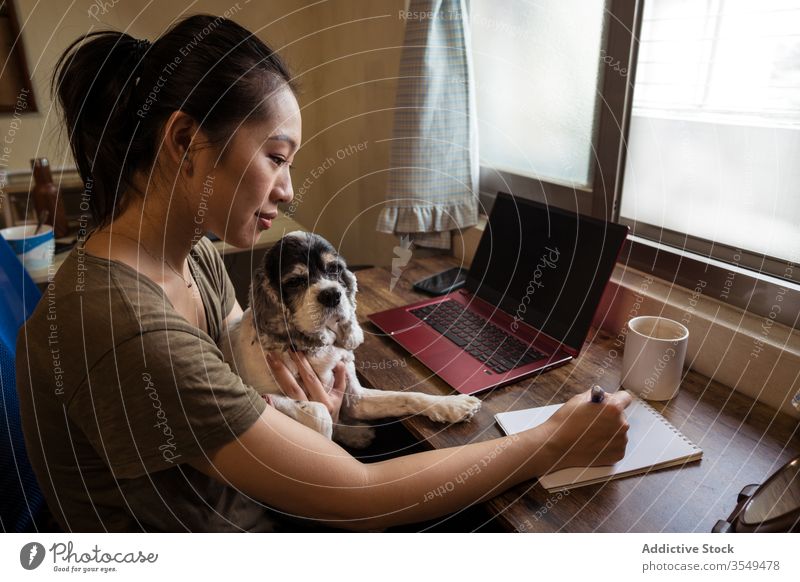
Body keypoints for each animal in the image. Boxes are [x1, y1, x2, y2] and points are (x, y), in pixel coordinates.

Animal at [219, 230, 482, 450]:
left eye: (334, 269)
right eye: (295, 281)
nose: (332, 294)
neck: (317, 348)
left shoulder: (355, 398)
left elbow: (407, 396)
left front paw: (454, 405)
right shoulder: (259, 397)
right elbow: (321, 414)